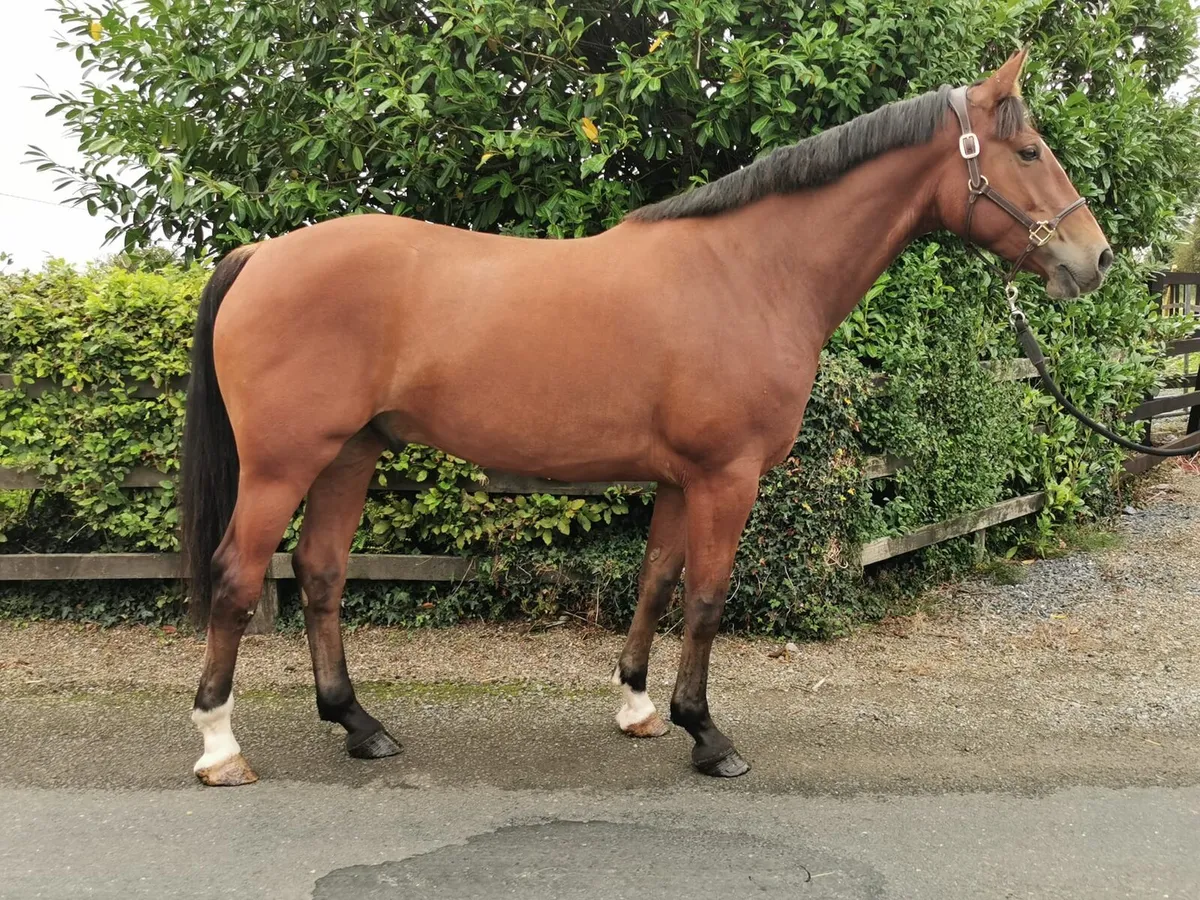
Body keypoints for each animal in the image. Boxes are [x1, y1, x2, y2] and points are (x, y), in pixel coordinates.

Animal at [180, 49, 1111, 786]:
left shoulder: (679, 478)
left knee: (322, 573)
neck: (751, 271)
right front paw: (709, 736)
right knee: (237, 577)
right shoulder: (727, 478)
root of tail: (262, 253)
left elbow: (656, 581)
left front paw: (638, 708)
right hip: (283, 464)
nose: (1094, 259)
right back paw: (220, 747)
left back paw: (359, 724)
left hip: (350, 453)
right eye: (1029, 150)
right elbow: (706, 597)